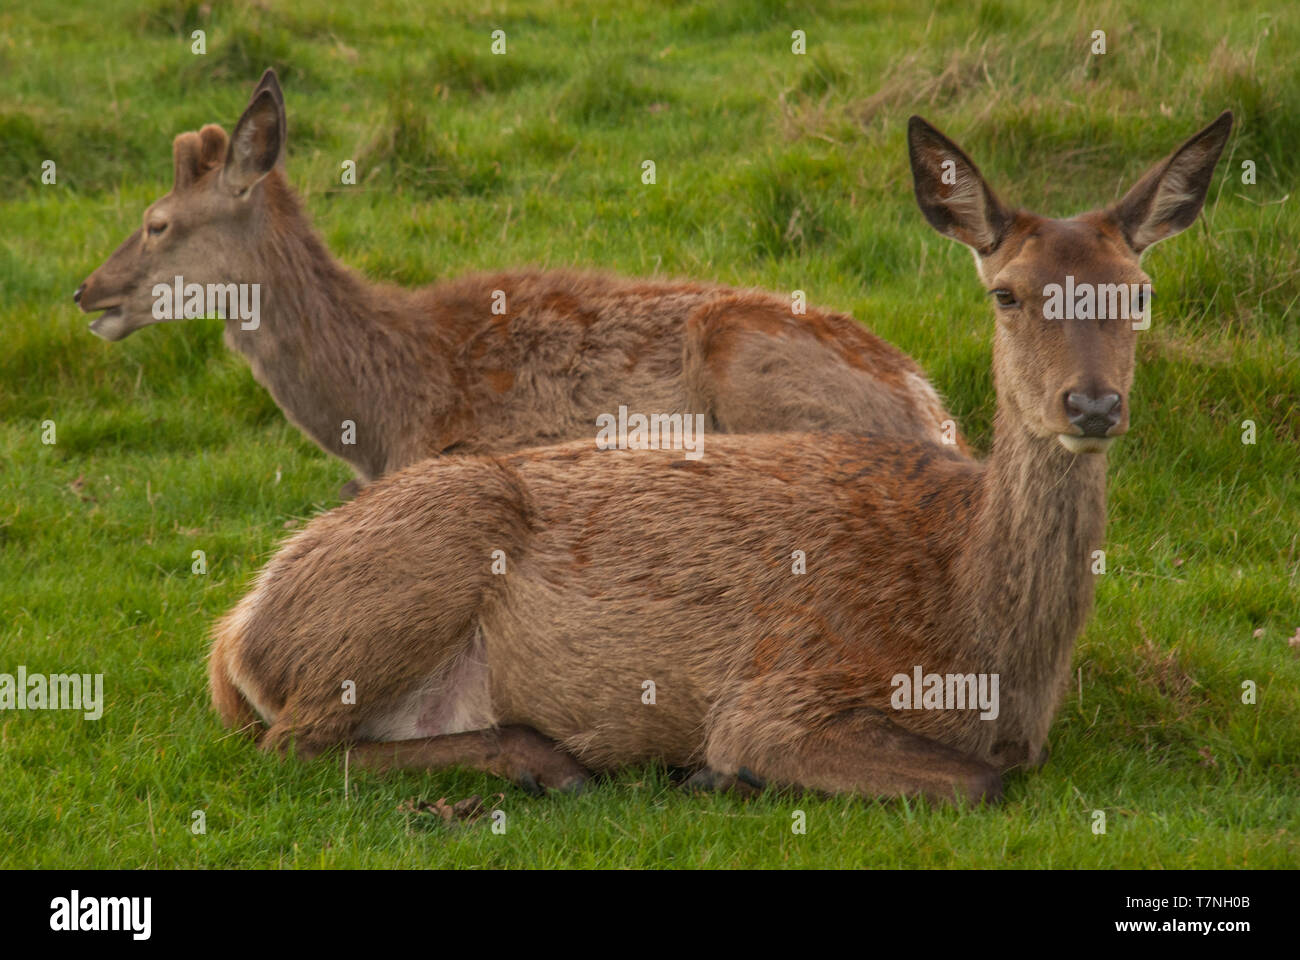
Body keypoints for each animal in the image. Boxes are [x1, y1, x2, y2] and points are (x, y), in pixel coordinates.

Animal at [207, 111, 1232, 803]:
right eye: (1008, 293)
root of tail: (235, 638)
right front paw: (719, 775)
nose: (1092, 403)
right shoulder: (783, 690)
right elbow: (979, 783)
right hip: (429, 552)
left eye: (1139, 293)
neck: (987, 650)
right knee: (292, 742)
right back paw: (550, 759)